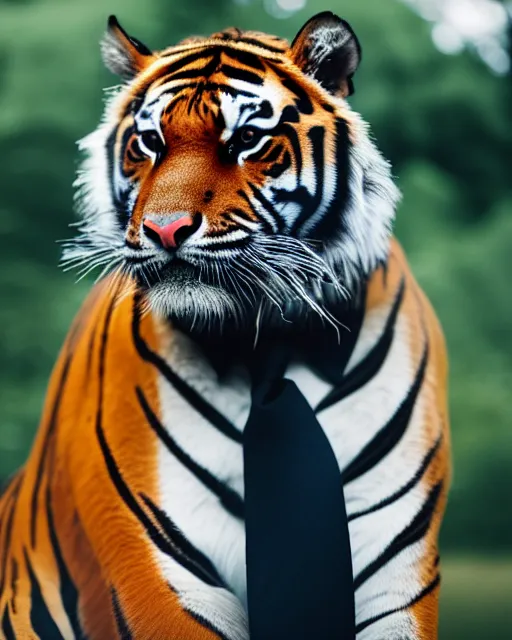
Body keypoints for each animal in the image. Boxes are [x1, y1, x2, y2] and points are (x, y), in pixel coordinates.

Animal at [0, 11, 448, 640]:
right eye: (149, 143)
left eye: (245, 141)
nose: (165, 229)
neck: (263, 339)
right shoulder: (156, 566)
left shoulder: (396, 571)